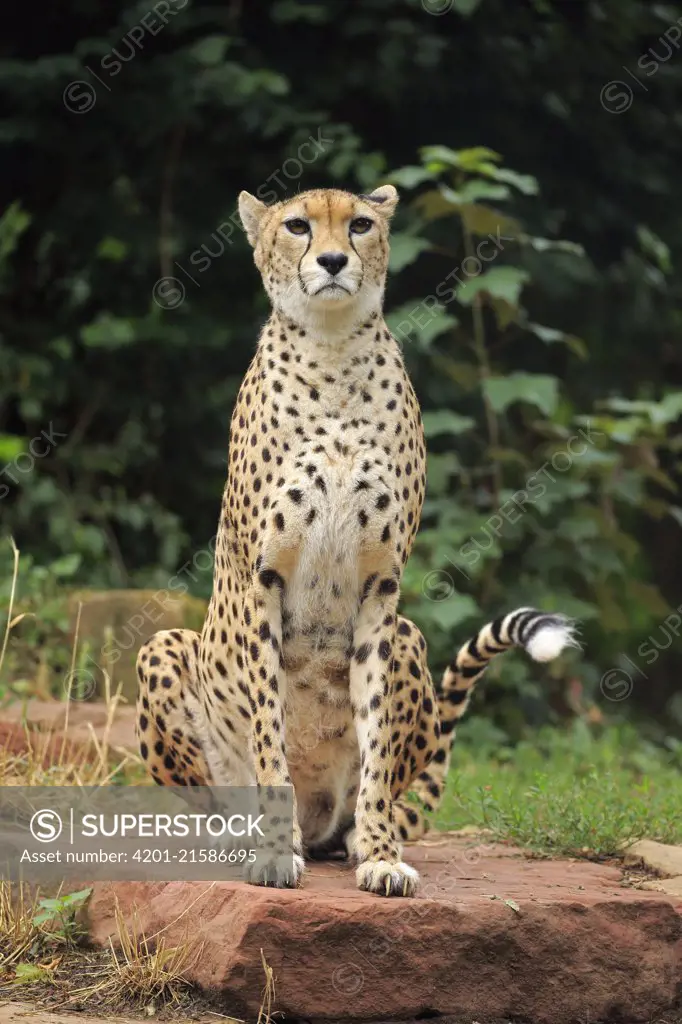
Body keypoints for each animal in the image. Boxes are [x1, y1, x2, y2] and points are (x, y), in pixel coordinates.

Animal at [135, 184, 577, 897]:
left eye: (361, 224)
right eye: (297, 226)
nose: (335, 260)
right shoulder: (264, 578)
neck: (333, 352)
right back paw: (240, 838)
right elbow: (268, 728)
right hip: (163, 647)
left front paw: (381, 854)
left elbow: (376, 737)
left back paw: (352, 838)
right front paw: (273, 849)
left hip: (411, 637)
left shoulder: (381, 587)